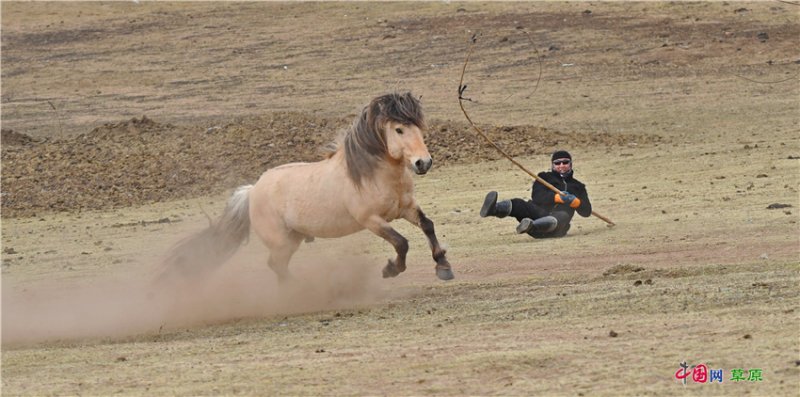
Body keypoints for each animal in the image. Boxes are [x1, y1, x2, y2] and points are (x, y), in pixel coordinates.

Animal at [159, 92, 454, 284]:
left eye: (419, 125)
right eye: (399, 129)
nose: (423, 162)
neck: (373, 175)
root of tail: (253, 190)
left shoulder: (406, 208)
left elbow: (428, 225)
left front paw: (443, 266)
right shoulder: (371, 220)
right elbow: (401, 243)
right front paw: (391, 270)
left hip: (294, 238)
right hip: (282, 242)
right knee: (275, 265)